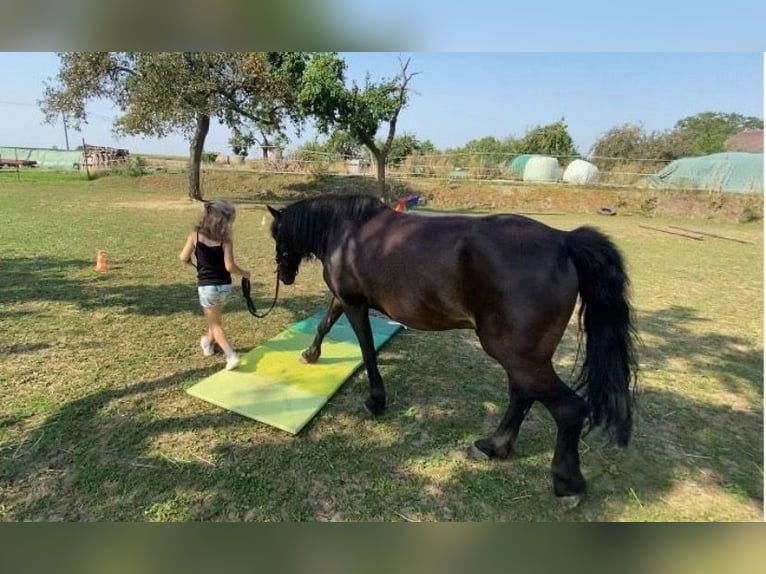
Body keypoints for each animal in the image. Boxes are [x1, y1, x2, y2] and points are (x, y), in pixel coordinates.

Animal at [267, 194, 637, 504]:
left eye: (277, 236)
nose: (284, 276)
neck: (348, 232)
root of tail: (563, 240)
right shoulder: (343, 299)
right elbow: (324, 324)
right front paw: (310, 355)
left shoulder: (355, 304)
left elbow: (367, 349)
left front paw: (375, 400)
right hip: (523, 356)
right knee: (522, 393)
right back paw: (493, 446)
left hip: (516, 354)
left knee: (567, 408)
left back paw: (566, 484)